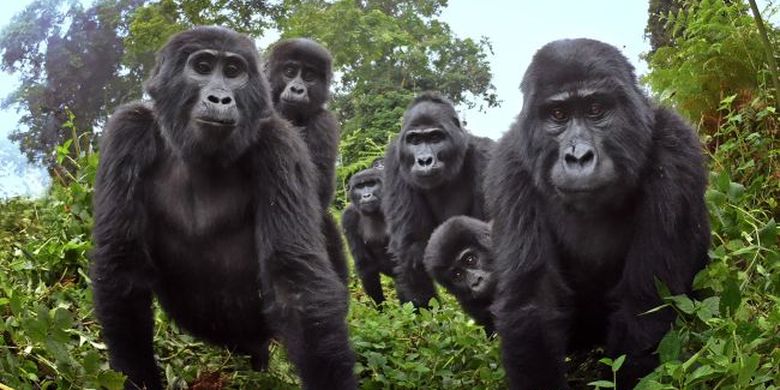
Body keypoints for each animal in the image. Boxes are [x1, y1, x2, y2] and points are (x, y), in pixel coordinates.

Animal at [340, 163, 394, 306]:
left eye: (371, 184)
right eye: (360, 186)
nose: (366, 195)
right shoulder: (348, 216)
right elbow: (366, 266)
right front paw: (381, 307)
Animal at [382, 92, 494, 308]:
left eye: (435, 137)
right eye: (415, 140)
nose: (424, 161)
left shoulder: (487, 157)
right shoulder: (394, 162)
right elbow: (410, 249)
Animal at [484, 38, 708, 388]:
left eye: (595, 109)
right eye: (558, 114)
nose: (578, 157)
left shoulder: (677, 151)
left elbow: (644, 300)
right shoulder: (509, 166)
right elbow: (532, 302)